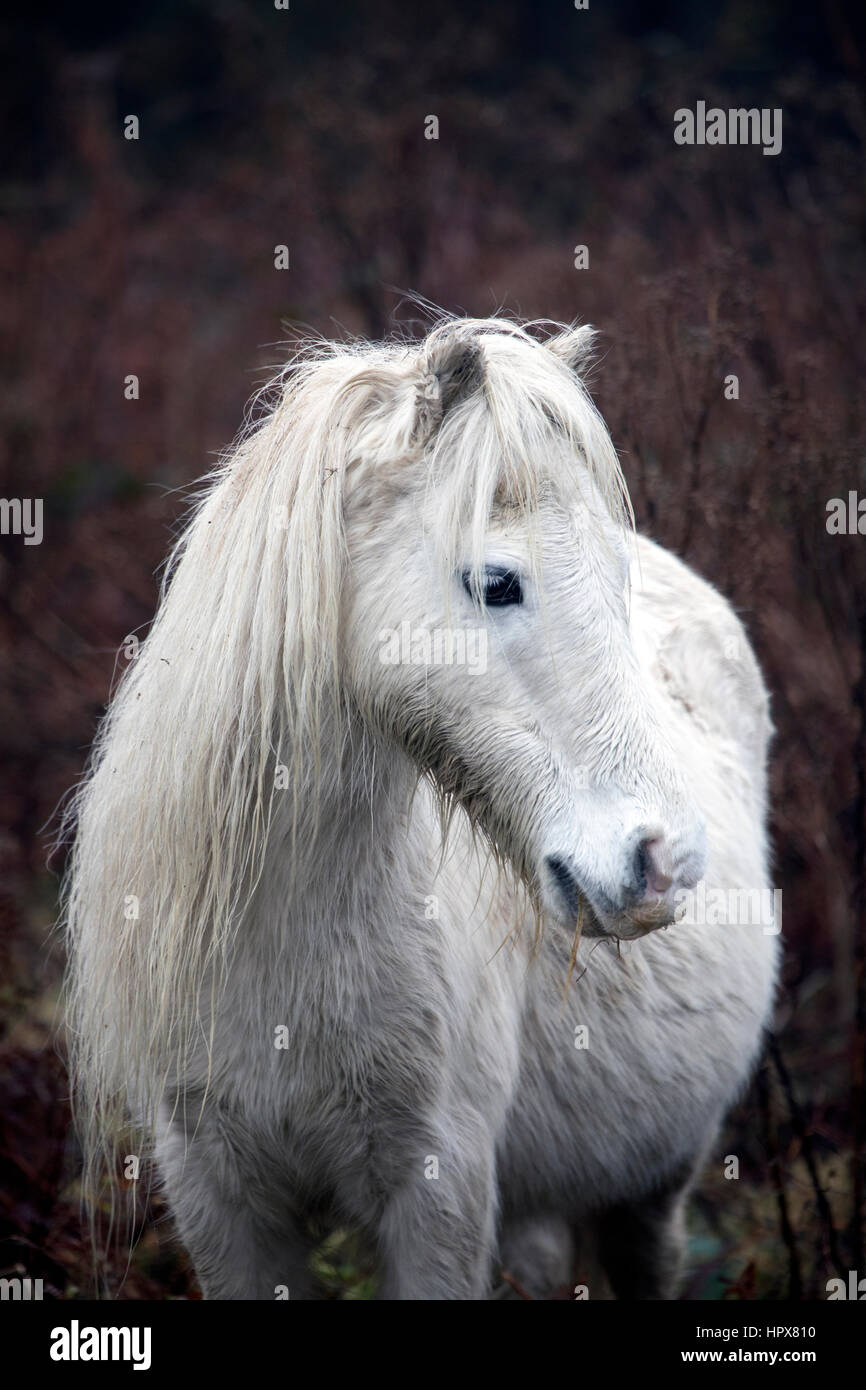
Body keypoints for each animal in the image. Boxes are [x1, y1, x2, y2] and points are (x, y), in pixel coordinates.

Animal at [64, 318, 783, 1301]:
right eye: (497, 582)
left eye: (616, 577)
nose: (664, 860)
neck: (281, 941)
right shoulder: (217, 1192)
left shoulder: (438, 1194)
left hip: (654, 1189)